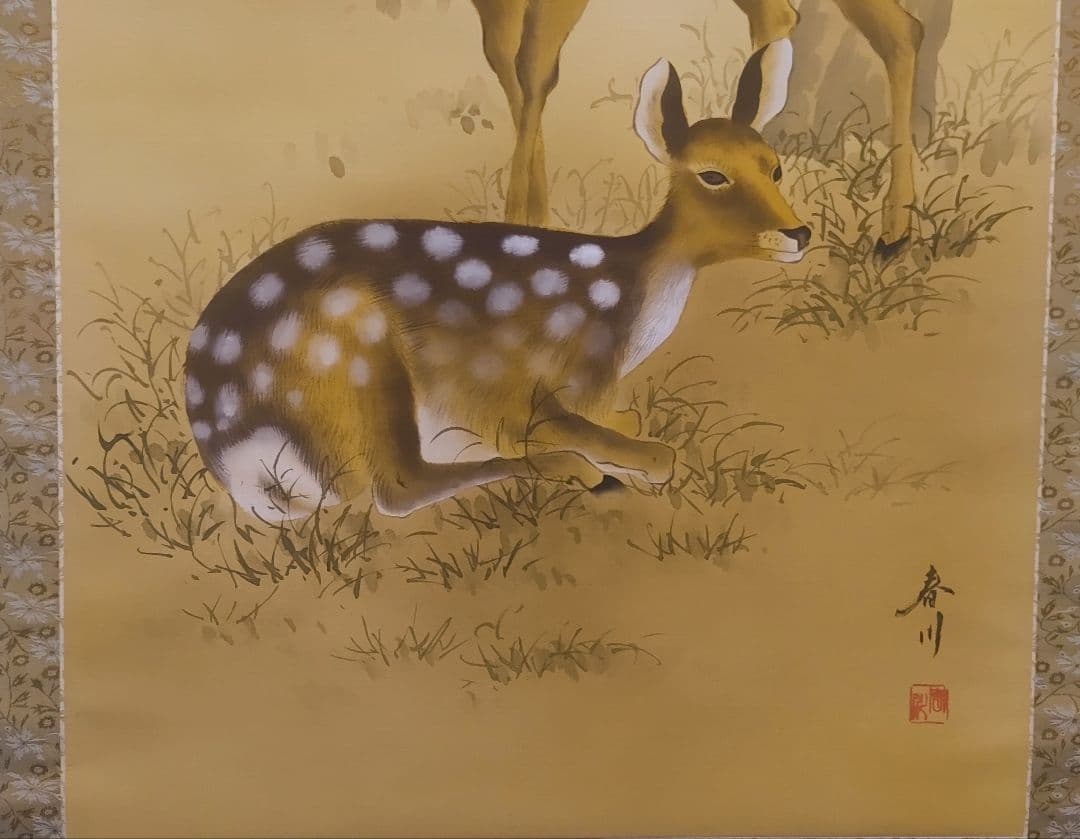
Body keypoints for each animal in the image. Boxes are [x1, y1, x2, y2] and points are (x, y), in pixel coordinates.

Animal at [183, 44, 810, 521]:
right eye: (712, 175)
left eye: (776, 167)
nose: (799, 233)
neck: (628, 311)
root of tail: (225, 444)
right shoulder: (539, 386)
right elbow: (650, 453)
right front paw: (620, 460)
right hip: (354, 348)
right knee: (395, 489)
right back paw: (572, 470)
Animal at [471, 0, 926, 262]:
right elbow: (505, 59)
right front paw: (533, 222)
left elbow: (533, 67)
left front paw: (515, 228)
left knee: (898, 28)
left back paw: (893, 233)